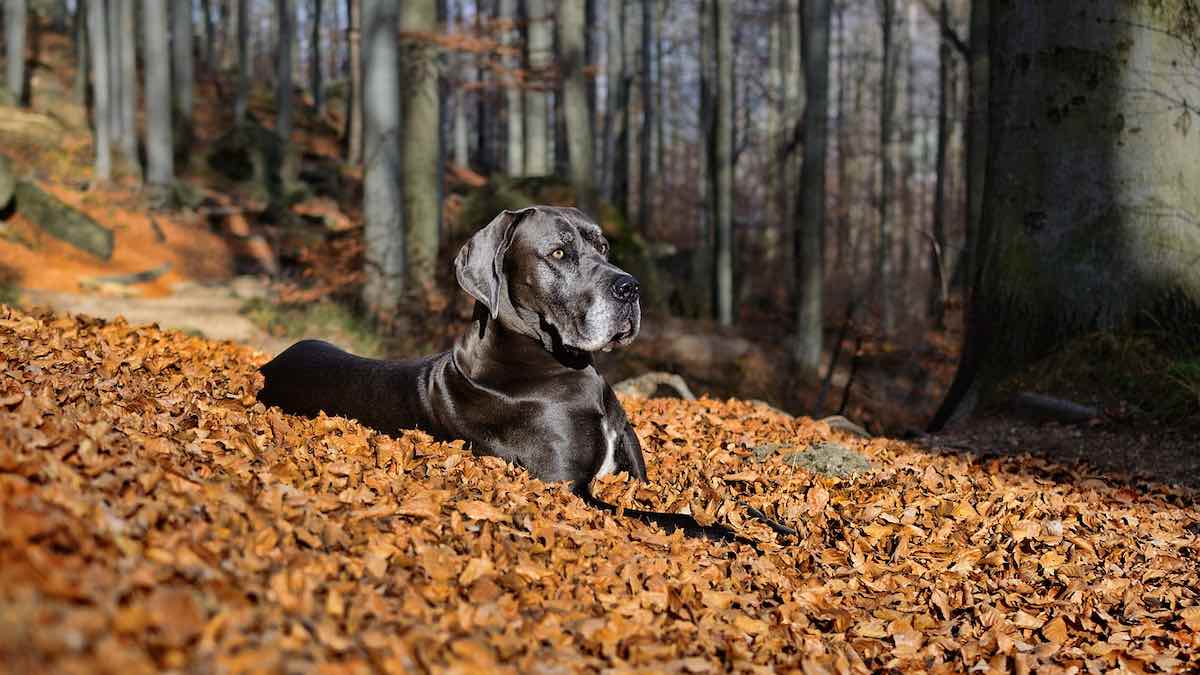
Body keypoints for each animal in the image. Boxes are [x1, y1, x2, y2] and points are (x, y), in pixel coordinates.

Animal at [259, 201, 782, 538]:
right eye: (559, 253)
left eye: (604, 247)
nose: (630, 288)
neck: (561, 367)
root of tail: (271, 362)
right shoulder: (573, 489)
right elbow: (677, 518)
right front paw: (735, 537)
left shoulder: (637, 476)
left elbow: (714, 497)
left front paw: (772, 522)